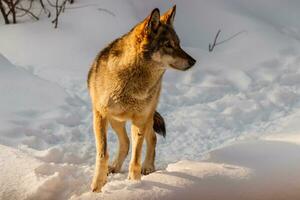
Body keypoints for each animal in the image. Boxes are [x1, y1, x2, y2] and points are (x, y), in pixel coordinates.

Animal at [86, 5, 197, 191]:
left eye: (178, 44)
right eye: (168, 45)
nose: (193, 61)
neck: (131, 81)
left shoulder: (139, 119)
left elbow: (136, 157)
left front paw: (134, 182)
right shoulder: (100, 115)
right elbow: (103, 154)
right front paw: (97, 186)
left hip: (145, 117)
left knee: (150, 138)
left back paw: (148, 167)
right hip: (115, 120)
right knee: (126, 143)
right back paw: (114, 167)